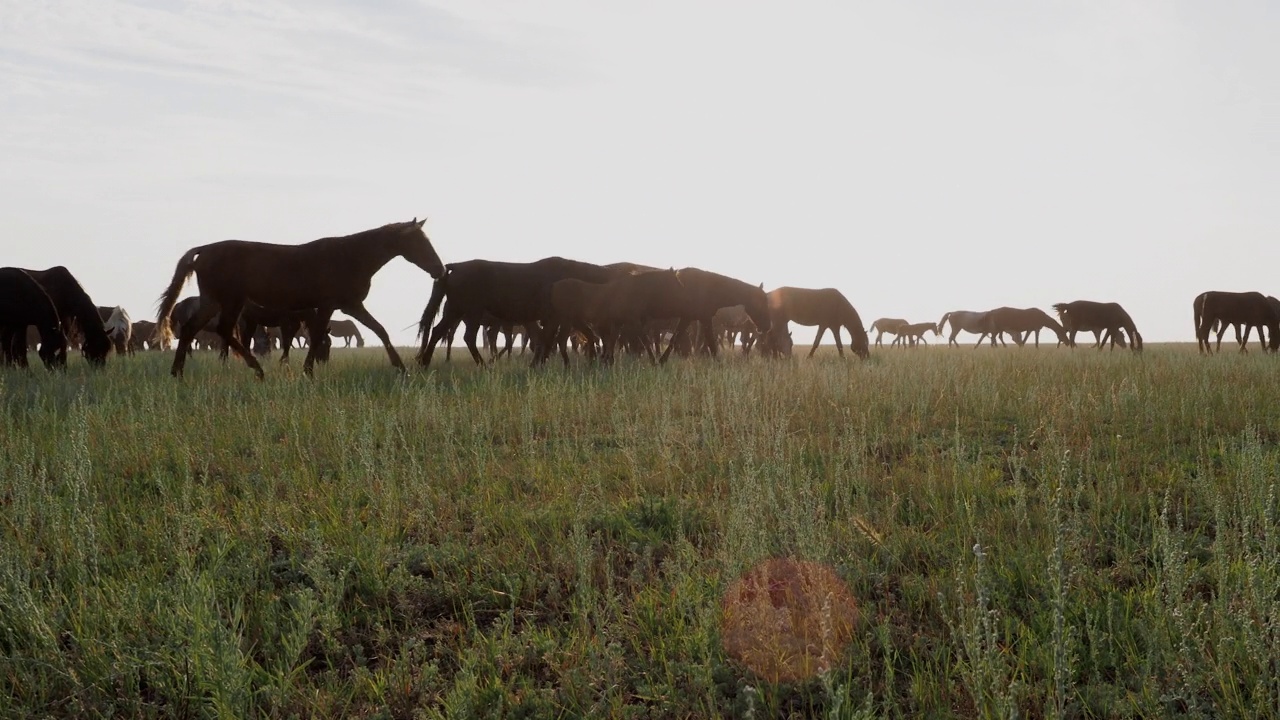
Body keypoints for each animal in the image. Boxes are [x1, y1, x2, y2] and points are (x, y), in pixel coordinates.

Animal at [156, 217, 440, 376]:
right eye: (420, 242)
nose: (438, 268)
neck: (350, 257)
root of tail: (203, 250)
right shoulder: (328, 306)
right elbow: (316, 337)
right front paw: (308, 371)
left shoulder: (351, 306)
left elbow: (380, 330)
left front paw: (401, 367)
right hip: (231, 302)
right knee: (223, 331)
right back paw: (257, 369)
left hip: (213, 302)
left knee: (192, 329)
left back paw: (177, 372)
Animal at [417, 256, 622, 366]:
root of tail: (457, 266)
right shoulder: (556, 318)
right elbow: (548, 339)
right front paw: (538, 363)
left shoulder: (563, 318)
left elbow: (552, 339)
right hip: (471, 312)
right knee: (468, 337)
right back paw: (483, 365)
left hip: (455, 310)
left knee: (437, 331)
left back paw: (425, 362)